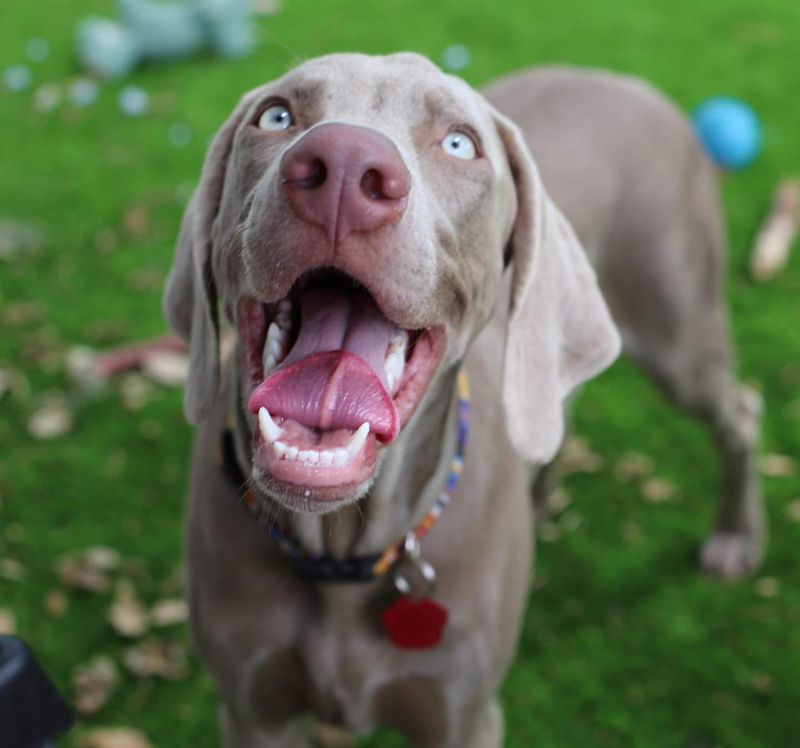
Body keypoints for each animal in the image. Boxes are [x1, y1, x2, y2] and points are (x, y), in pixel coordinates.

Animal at [164, 54, 764, 748]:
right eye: (277, 115)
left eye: (459, 143)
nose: (342, 165)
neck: (344, 554)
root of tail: (622, 79)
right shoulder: (252, 710)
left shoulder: (464, 714)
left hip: (675, 327)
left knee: (741, 412)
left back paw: (735, 537)